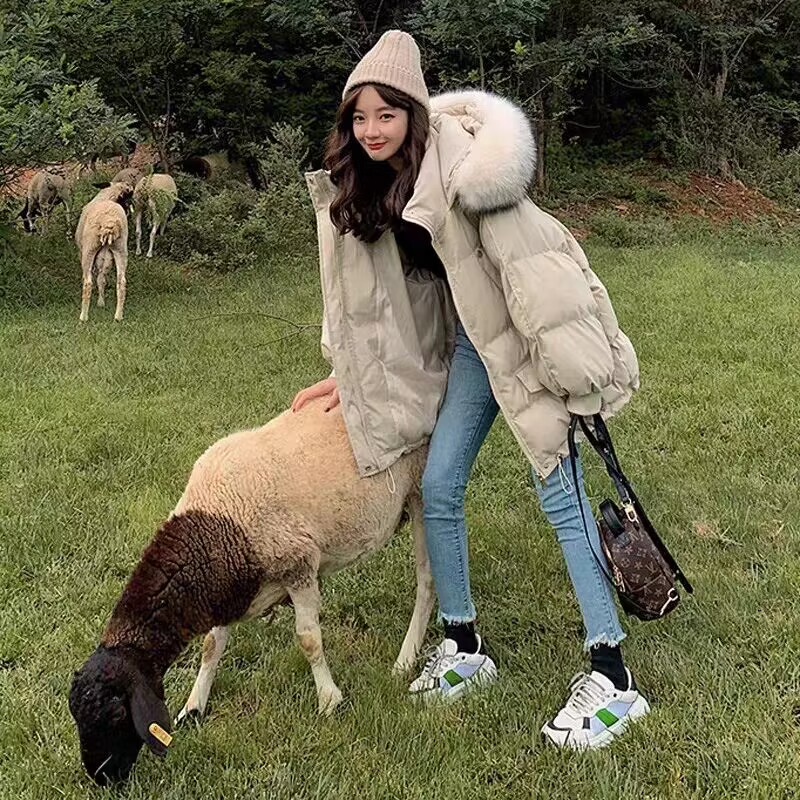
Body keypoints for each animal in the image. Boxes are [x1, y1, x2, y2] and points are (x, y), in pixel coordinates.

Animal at [68, 397, 434, 786]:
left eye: (116, 714)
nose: (102, 779)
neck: (215, 525)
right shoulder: (226, 591)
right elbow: (210, 647)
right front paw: (193, 707)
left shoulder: (299, 564)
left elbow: (308, 640)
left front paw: (329, 701)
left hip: (422, 490)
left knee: (427, 580)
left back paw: (405, 659)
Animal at [74, 183, 134, 322]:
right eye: (127, 201)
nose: (129, 214)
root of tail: (109, 221)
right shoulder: (106, 256)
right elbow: (101, 279)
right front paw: (101, 303)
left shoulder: (82, 251)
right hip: (120, 249)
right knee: (121, 282)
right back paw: (118, 316)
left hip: (89, 249)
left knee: (88, 283)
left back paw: (83, 317)